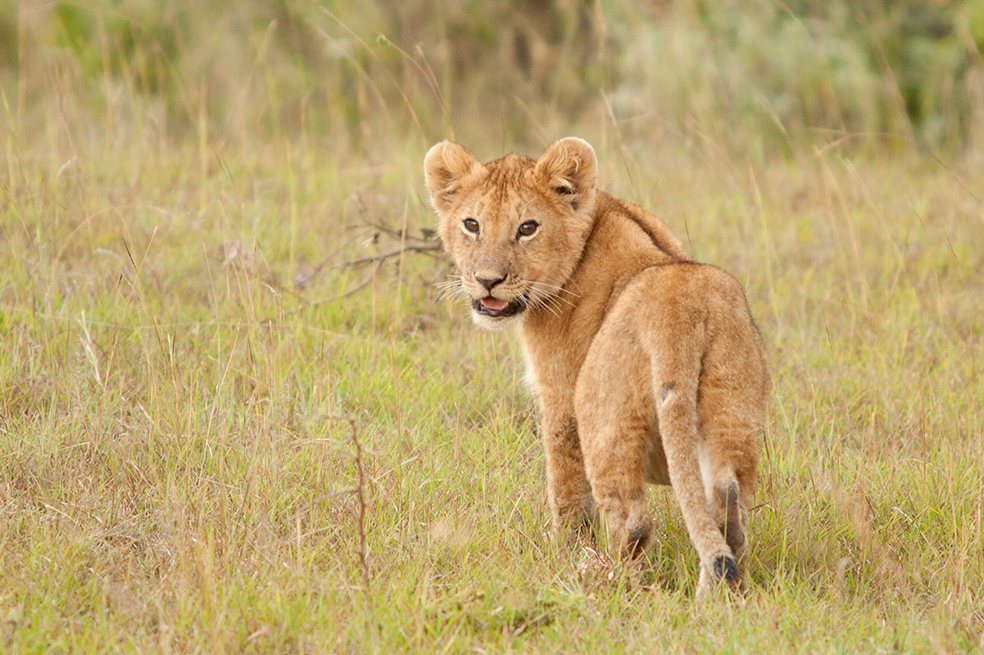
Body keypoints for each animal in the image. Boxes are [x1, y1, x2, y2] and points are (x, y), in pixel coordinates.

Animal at [424, 137, 770, 593]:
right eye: (471, 224)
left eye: (527, 228)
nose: (488, 281)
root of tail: (680, 314)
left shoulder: (558, 394)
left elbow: (566, 488)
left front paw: (563, 553)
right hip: (734, 409)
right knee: (731, 513)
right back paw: (721, 598)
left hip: (604, 417)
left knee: (632, 519)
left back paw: (602, 578)